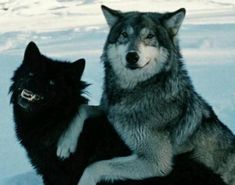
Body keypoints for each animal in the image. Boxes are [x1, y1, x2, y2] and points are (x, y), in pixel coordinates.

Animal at [57, 5, 235, 185]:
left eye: (149, 36)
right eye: (124, 34)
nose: (132, 56)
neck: (133, 91)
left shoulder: (156, 162)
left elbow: (95, 166)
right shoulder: (107, 110)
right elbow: (82, 108)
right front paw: (65, 144)